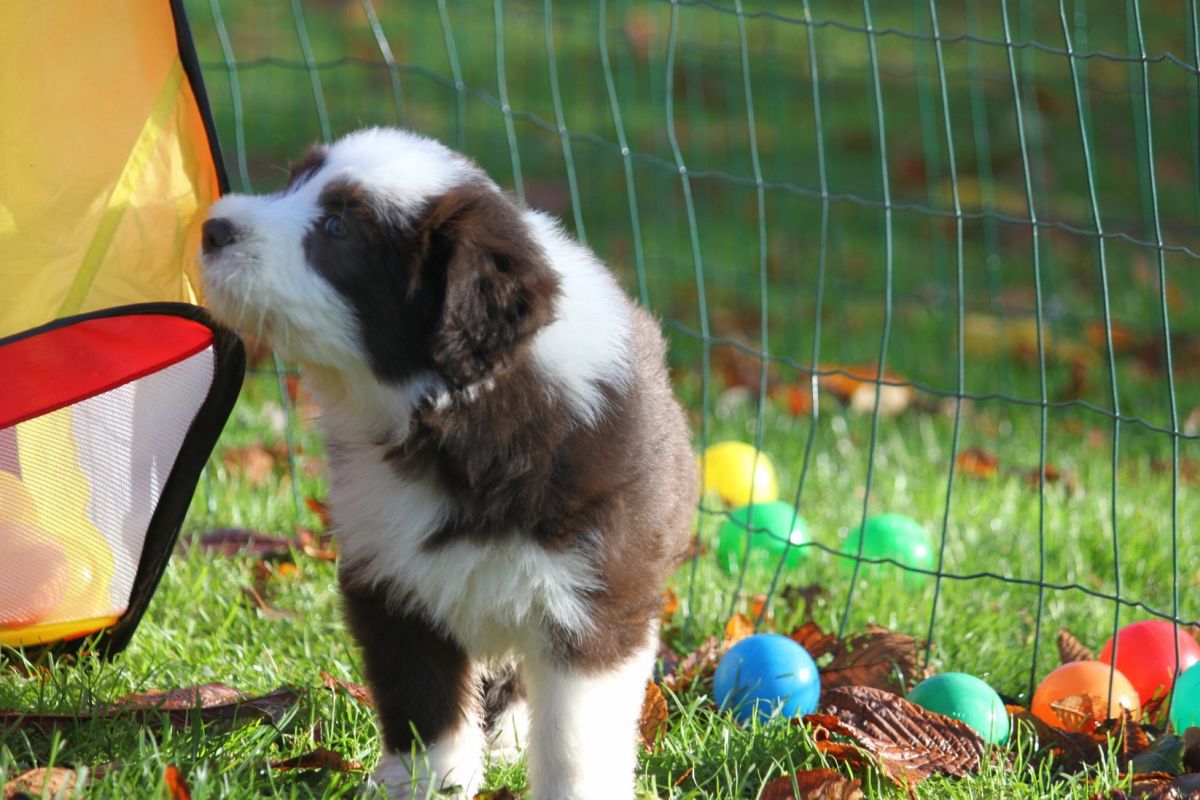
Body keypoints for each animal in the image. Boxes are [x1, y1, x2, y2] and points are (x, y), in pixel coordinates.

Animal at [198, 128, 697, 799]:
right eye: (293, 185)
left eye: (336, 228)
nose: (213, 227)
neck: (457, 414)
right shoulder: (393, 581)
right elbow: (423, 703)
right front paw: (430, 784)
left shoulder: (598, 595)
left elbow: (574, 735)